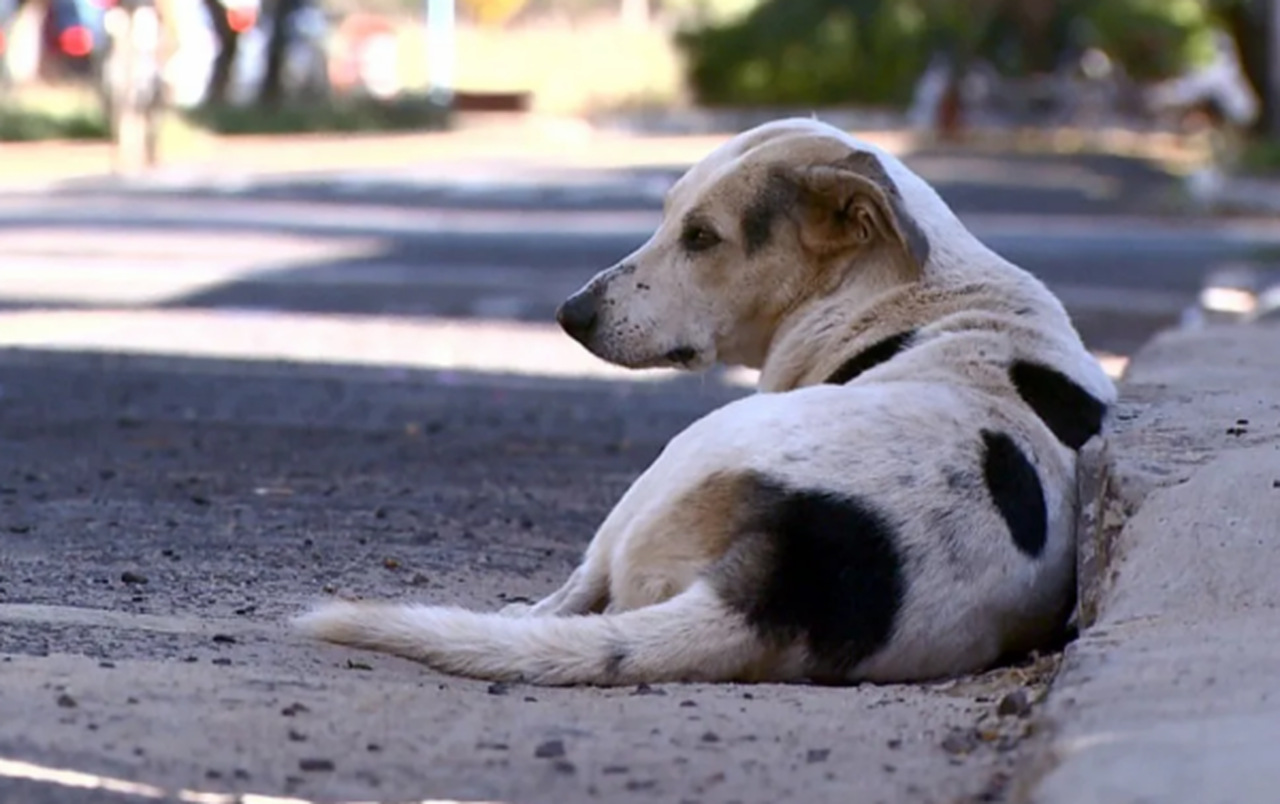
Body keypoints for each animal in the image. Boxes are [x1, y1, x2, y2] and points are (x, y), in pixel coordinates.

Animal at [295, 118, 1116, 685]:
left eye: (700, 237)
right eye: (667, 217)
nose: (569, 315)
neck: (904, 287)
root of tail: (789, 572)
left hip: (677, 458)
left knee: (583, 587)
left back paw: (523, 616)